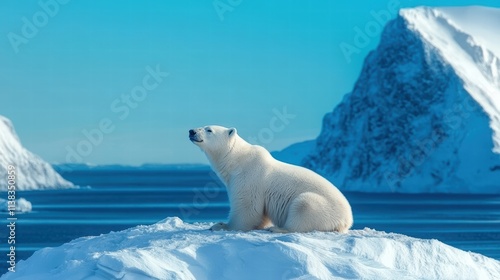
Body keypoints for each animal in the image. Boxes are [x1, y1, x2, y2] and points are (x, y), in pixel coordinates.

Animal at [189, 126, 354, 233]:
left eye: (209, 129)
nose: (192, 131)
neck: (237, 160)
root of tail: (347, 220)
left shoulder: (248, 178)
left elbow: (247, 207)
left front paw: (222, 225)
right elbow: (260, 214)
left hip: (321, 207)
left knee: (304, 207)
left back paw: (278, 228)